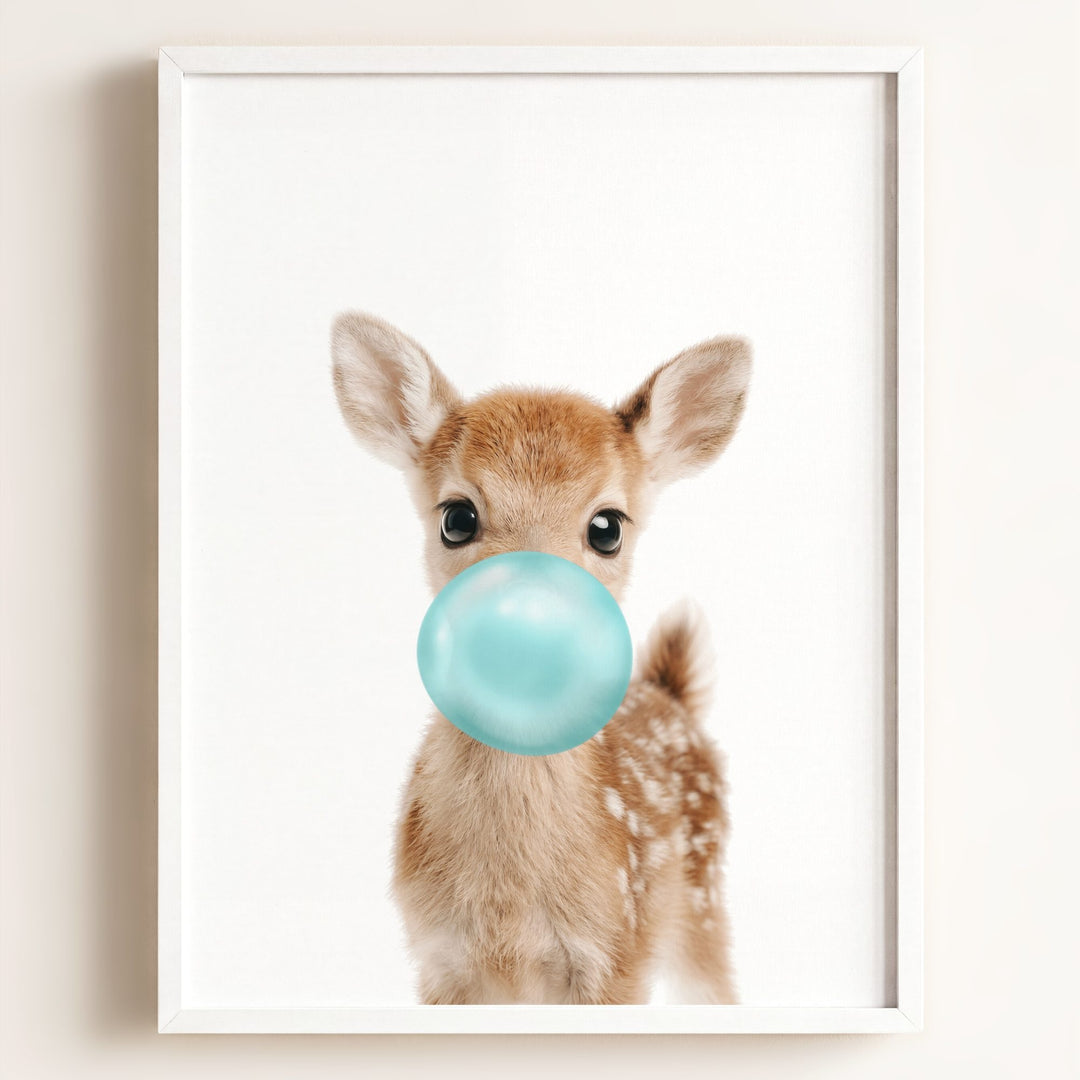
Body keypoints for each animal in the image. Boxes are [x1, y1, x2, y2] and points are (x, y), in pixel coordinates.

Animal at [331, 311, 751, 1005]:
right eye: (457, 517)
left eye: (607, 527)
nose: (527, 623)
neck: (509, 911)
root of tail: (671, 693)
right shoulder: (438, 961)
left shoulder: (617, 954)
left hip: (704, 903)